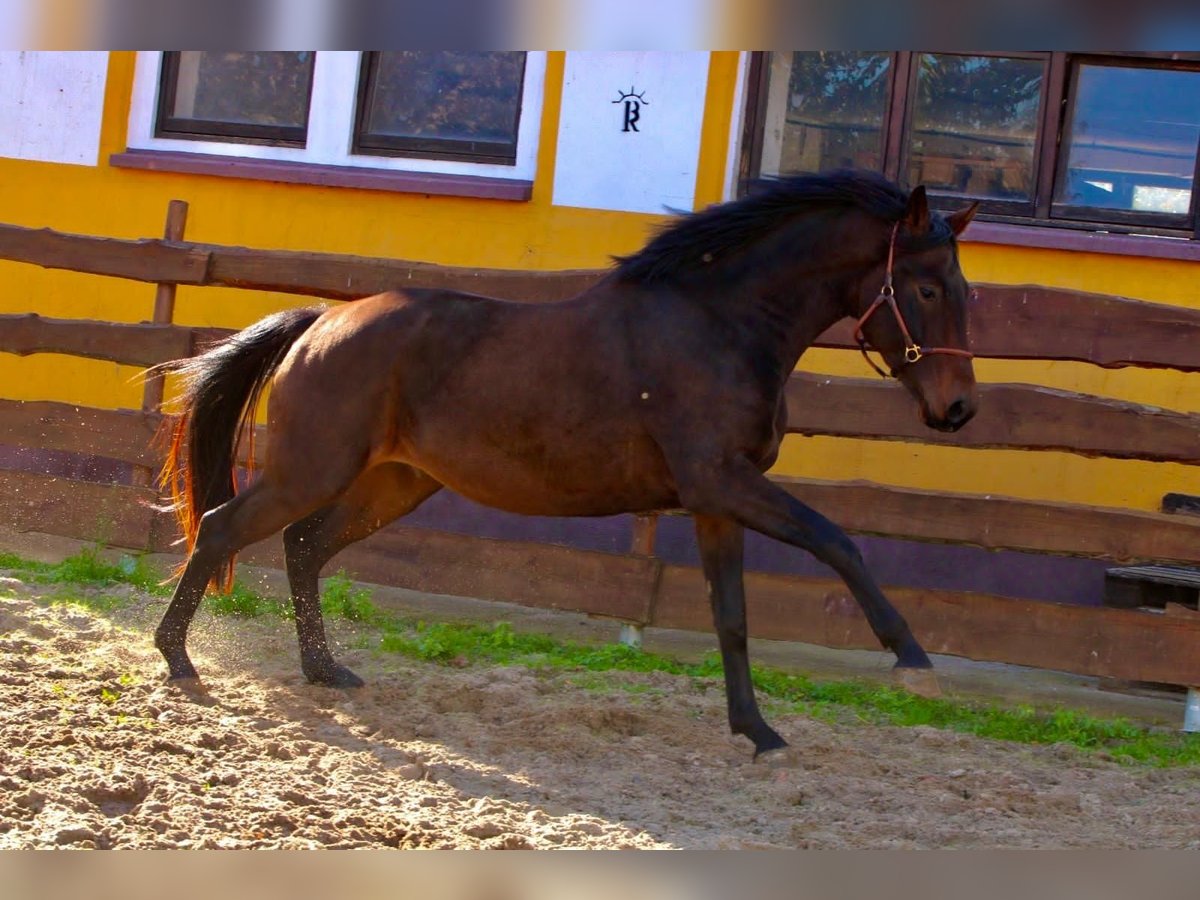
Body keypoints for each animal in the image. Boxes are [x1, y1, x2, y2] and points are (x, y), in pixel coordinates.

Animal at [154, 170, 978, 758]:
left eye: (964, 290)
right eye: (927, 287)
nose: (959, 409)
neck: (720, 324)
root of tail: (322, 320)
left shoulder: (715, 500)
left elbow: (732, 616)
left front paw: (759, 733)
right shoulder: (725, 481)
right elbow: (837, 541)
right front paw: (913, 662)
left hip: (394, 483)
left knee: (303, 545)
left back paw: (324, 671)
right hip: (313, 468)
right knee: (224, 528)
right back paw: (179, 661)